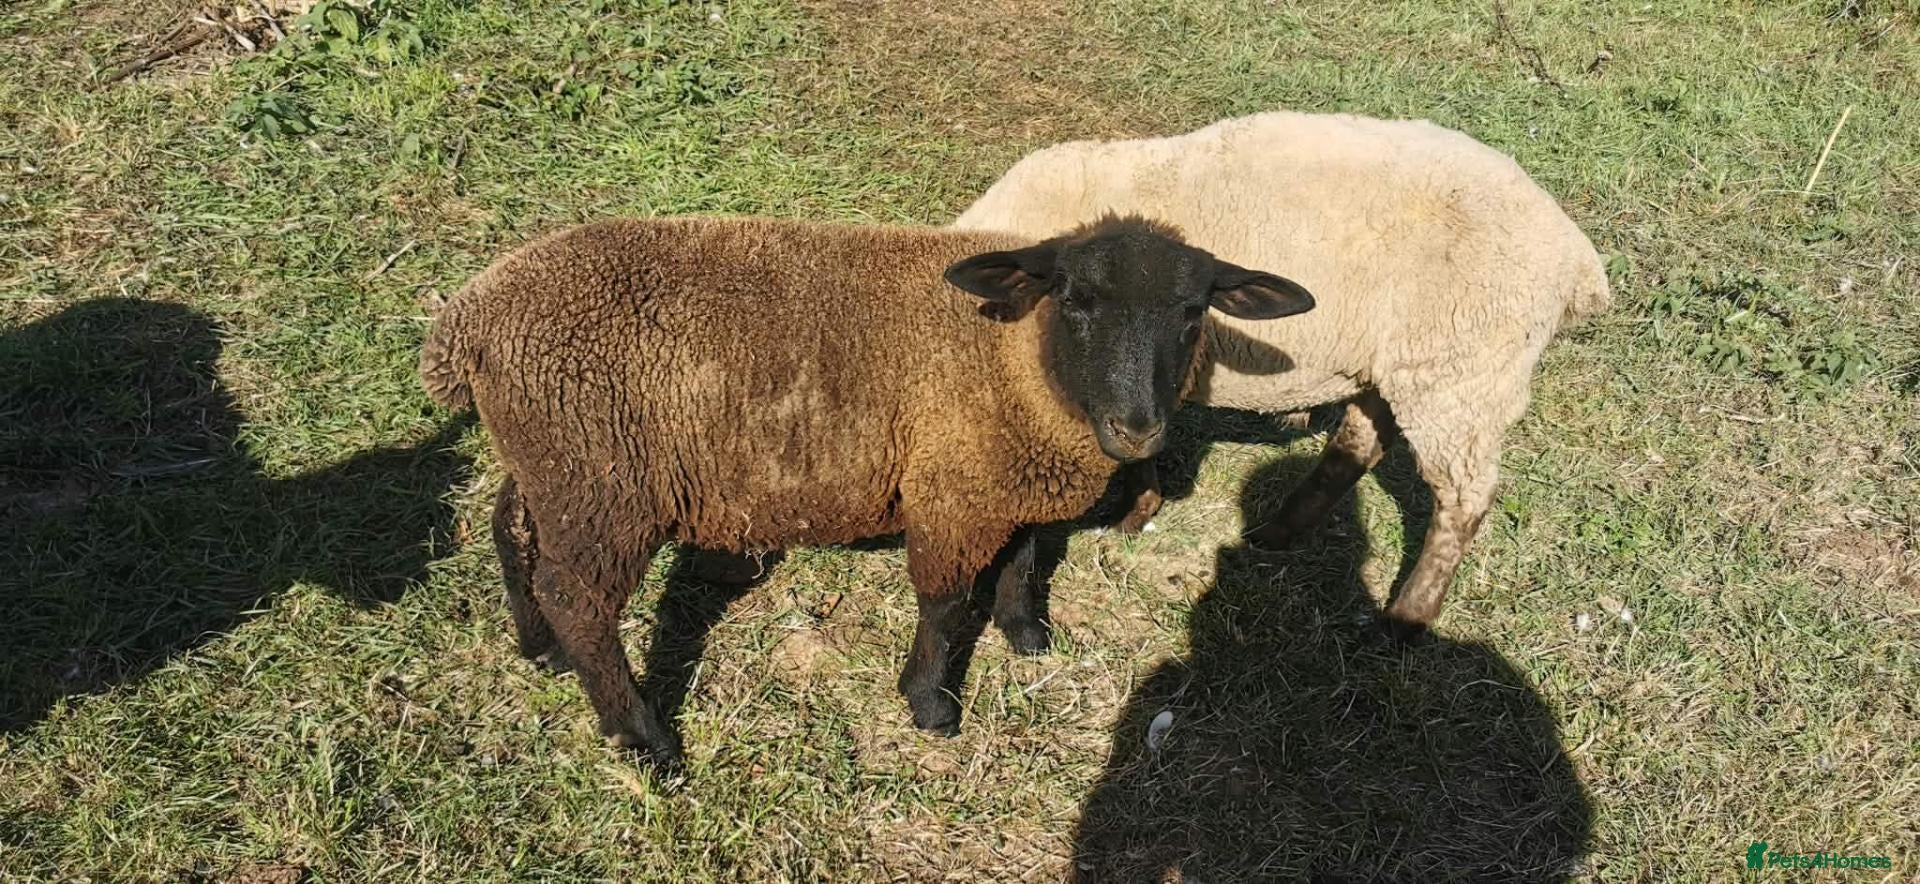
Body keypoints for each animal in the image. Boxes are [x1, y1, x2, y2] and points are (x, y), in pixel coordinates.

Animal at [420, 214, 1315, 766]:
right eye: (1077, 300)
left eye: (1195, 310)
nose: (1139, 432)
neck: (1018, 361)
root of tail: (467, 322)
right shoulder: (953, 486)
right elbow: (945, 604)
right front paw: (930, 704)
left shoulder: (1006, 472)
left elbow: (1024, 556)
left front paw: (1026, 634)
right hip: (604, 481)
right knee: (579, 598)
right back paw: (642, 736)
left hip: (551, 465)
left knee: (511, 535)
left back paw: (539, 649)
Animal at [953, 111, 1611, 638]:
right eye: (1074, 303)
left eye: (1192, 313)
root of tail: (1580, 265)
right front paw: (1138, 510)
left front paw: (1132, 511)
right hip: (1404, 363)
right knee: (1358, 444)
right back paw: (1275, 534)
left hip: (1463, 372)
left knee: (1462, 498)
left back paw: (1407, 618)